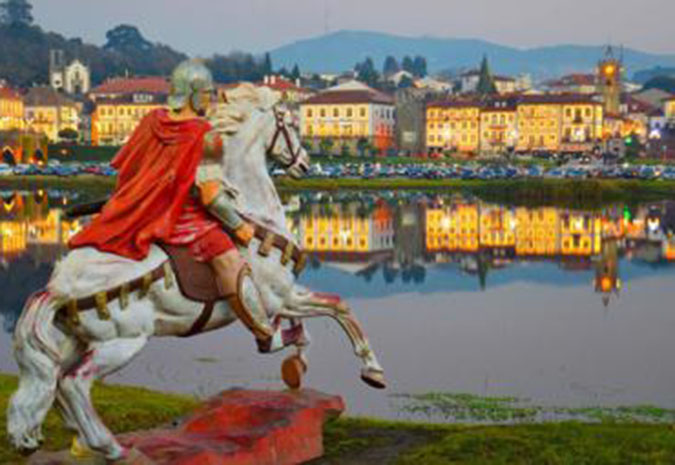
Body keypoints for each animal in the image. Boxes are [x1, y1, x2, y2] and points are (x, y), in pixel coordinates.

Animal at [6, 84, 386, 460]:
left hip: (78, 340)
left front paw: (296, 359)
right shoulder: (280, 297)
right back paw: (111, 447)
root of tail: (58, 287)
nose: (305, 164)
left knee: (55, 379)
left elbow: (310, 326)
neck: (254, 214)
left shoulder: (286, 297)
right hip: (123, 342)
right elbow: (337, 306)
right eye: (291, 125)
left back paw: (73, 440)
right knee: (75, 383)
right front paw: (372, 370)